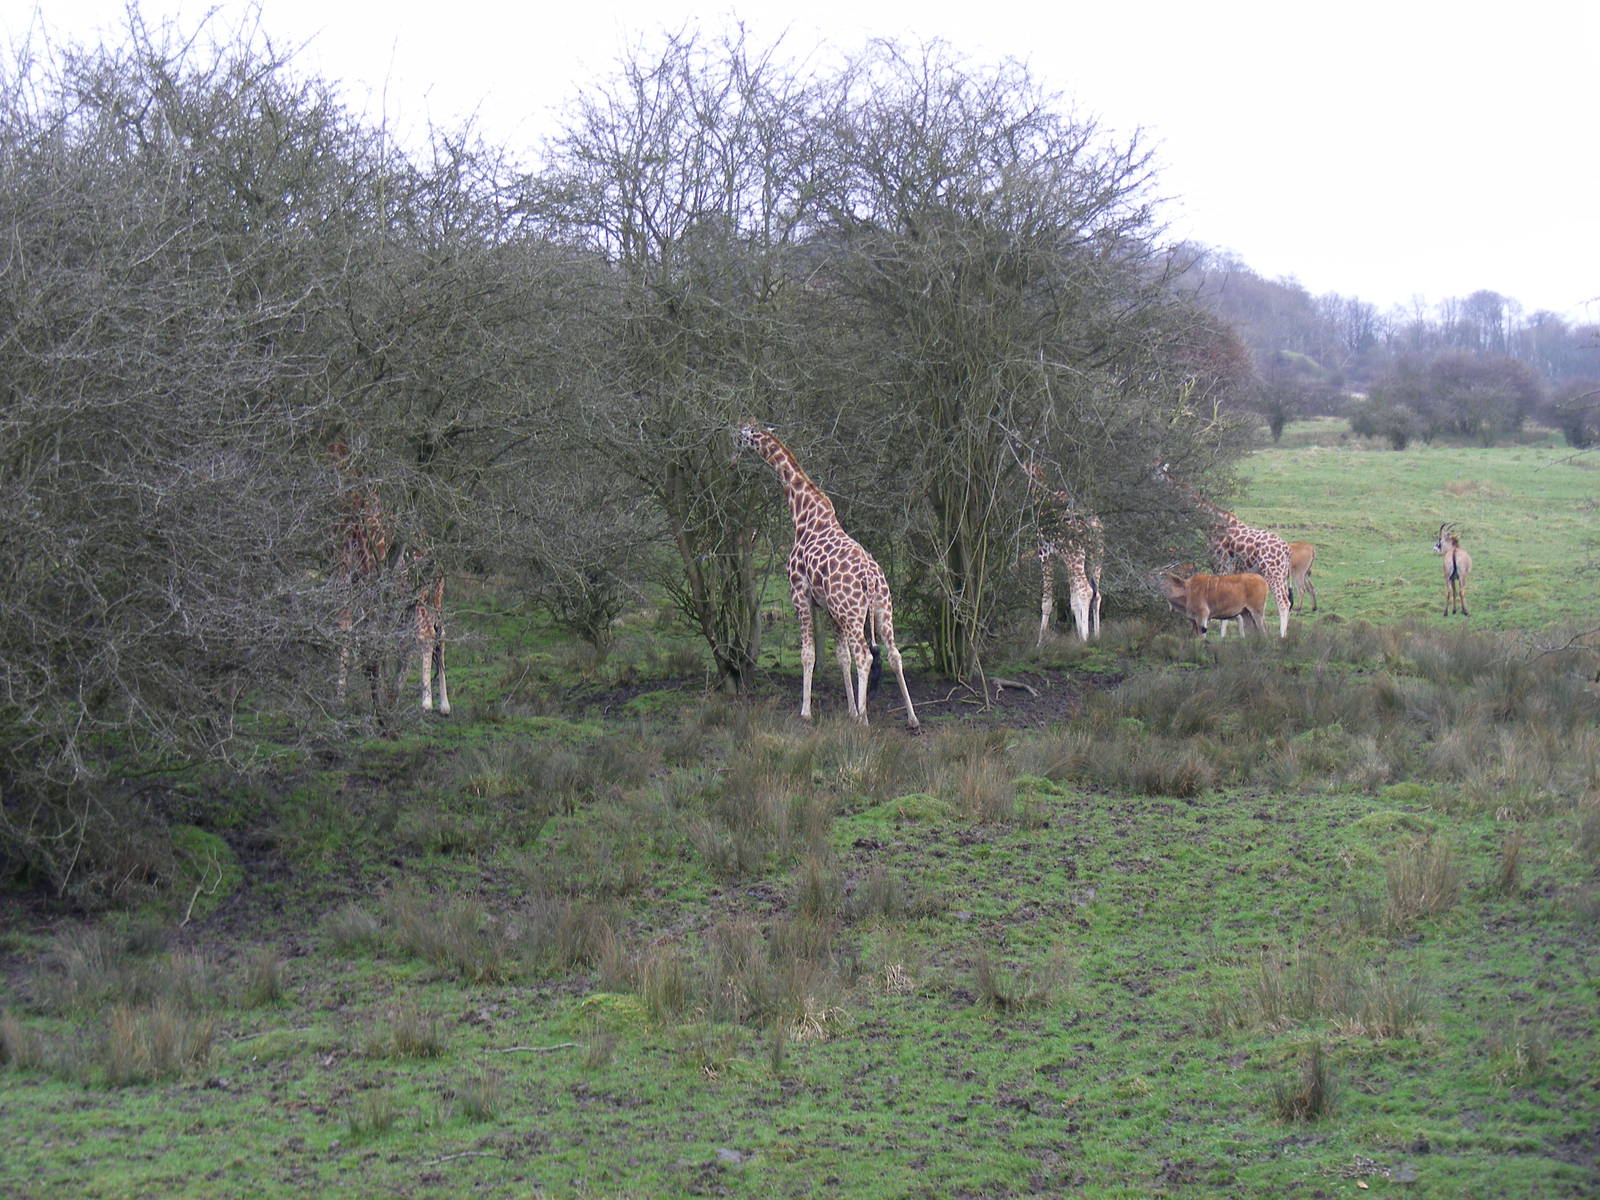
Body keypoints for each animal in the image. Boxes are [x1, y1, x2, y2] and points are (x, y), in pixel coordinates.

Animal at [331, 439, 450, 714]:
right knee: (440, 634)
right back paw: (444, 704)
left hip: (419, 597)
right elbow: (355, 629)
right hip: (431, 598)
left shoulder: (356, 579)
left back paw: (426, 703)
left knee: (426, 634)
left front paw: (342, 695)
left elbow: (353, 630)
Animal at [735, 422, 919, 728]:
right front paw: (851, 710)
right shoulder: (831, 609)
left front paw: (807, 712)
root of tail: (871, 579)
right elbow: (841, 657)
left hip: (853, 612)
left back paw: (865, 721)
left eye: (741, 436)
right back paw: (912, 718)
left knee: (864, 656)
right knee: (893, 654)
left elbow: (808, 654)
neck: (803, 512)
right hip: (882, 608)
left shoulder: (799, 593)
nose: (732, 448)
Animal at [1024, 459, 1103, 643]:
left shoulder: (1045, 553)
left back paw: (1085, 639)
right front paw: (1079, 633)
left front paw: (1039, 643)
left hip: (1076, 555)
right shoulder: (1064, 559)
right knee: (1096, 594)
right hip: (1095, 558)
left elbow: (1047, 601)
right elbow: (1073, 600)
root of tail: (1094, 527)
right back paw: (1096, 636)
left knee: (1086, 590)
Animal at [1156, 463, 1292, 637]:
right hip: (1281, 574)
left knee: (1283, 603)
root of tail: (1286, 549)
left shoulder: (1223, 565)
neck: (1212, 526)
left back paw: (1282, 637)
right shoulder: (1222, 568)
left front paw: (1221, 637)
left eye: (1157, 473)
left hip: (1273, 572)